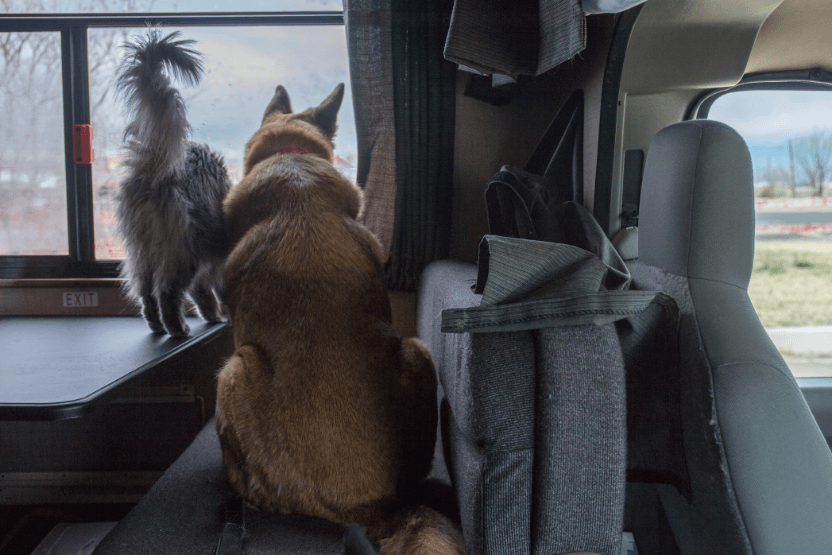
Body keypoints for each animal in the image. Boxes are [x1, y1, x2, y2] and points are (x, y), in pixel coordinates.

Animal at [114, 31, 231, 338]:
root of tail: (156, 167)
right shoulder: (214, 260)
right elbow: (211, 292)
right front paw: (221, 315)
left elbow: (204, 294)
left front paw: (214, 315)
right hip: (183, 250)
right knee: (166, 292)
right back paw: (177, 329)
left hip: (142, 251)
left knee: (146, 292)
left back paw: (157, 326)